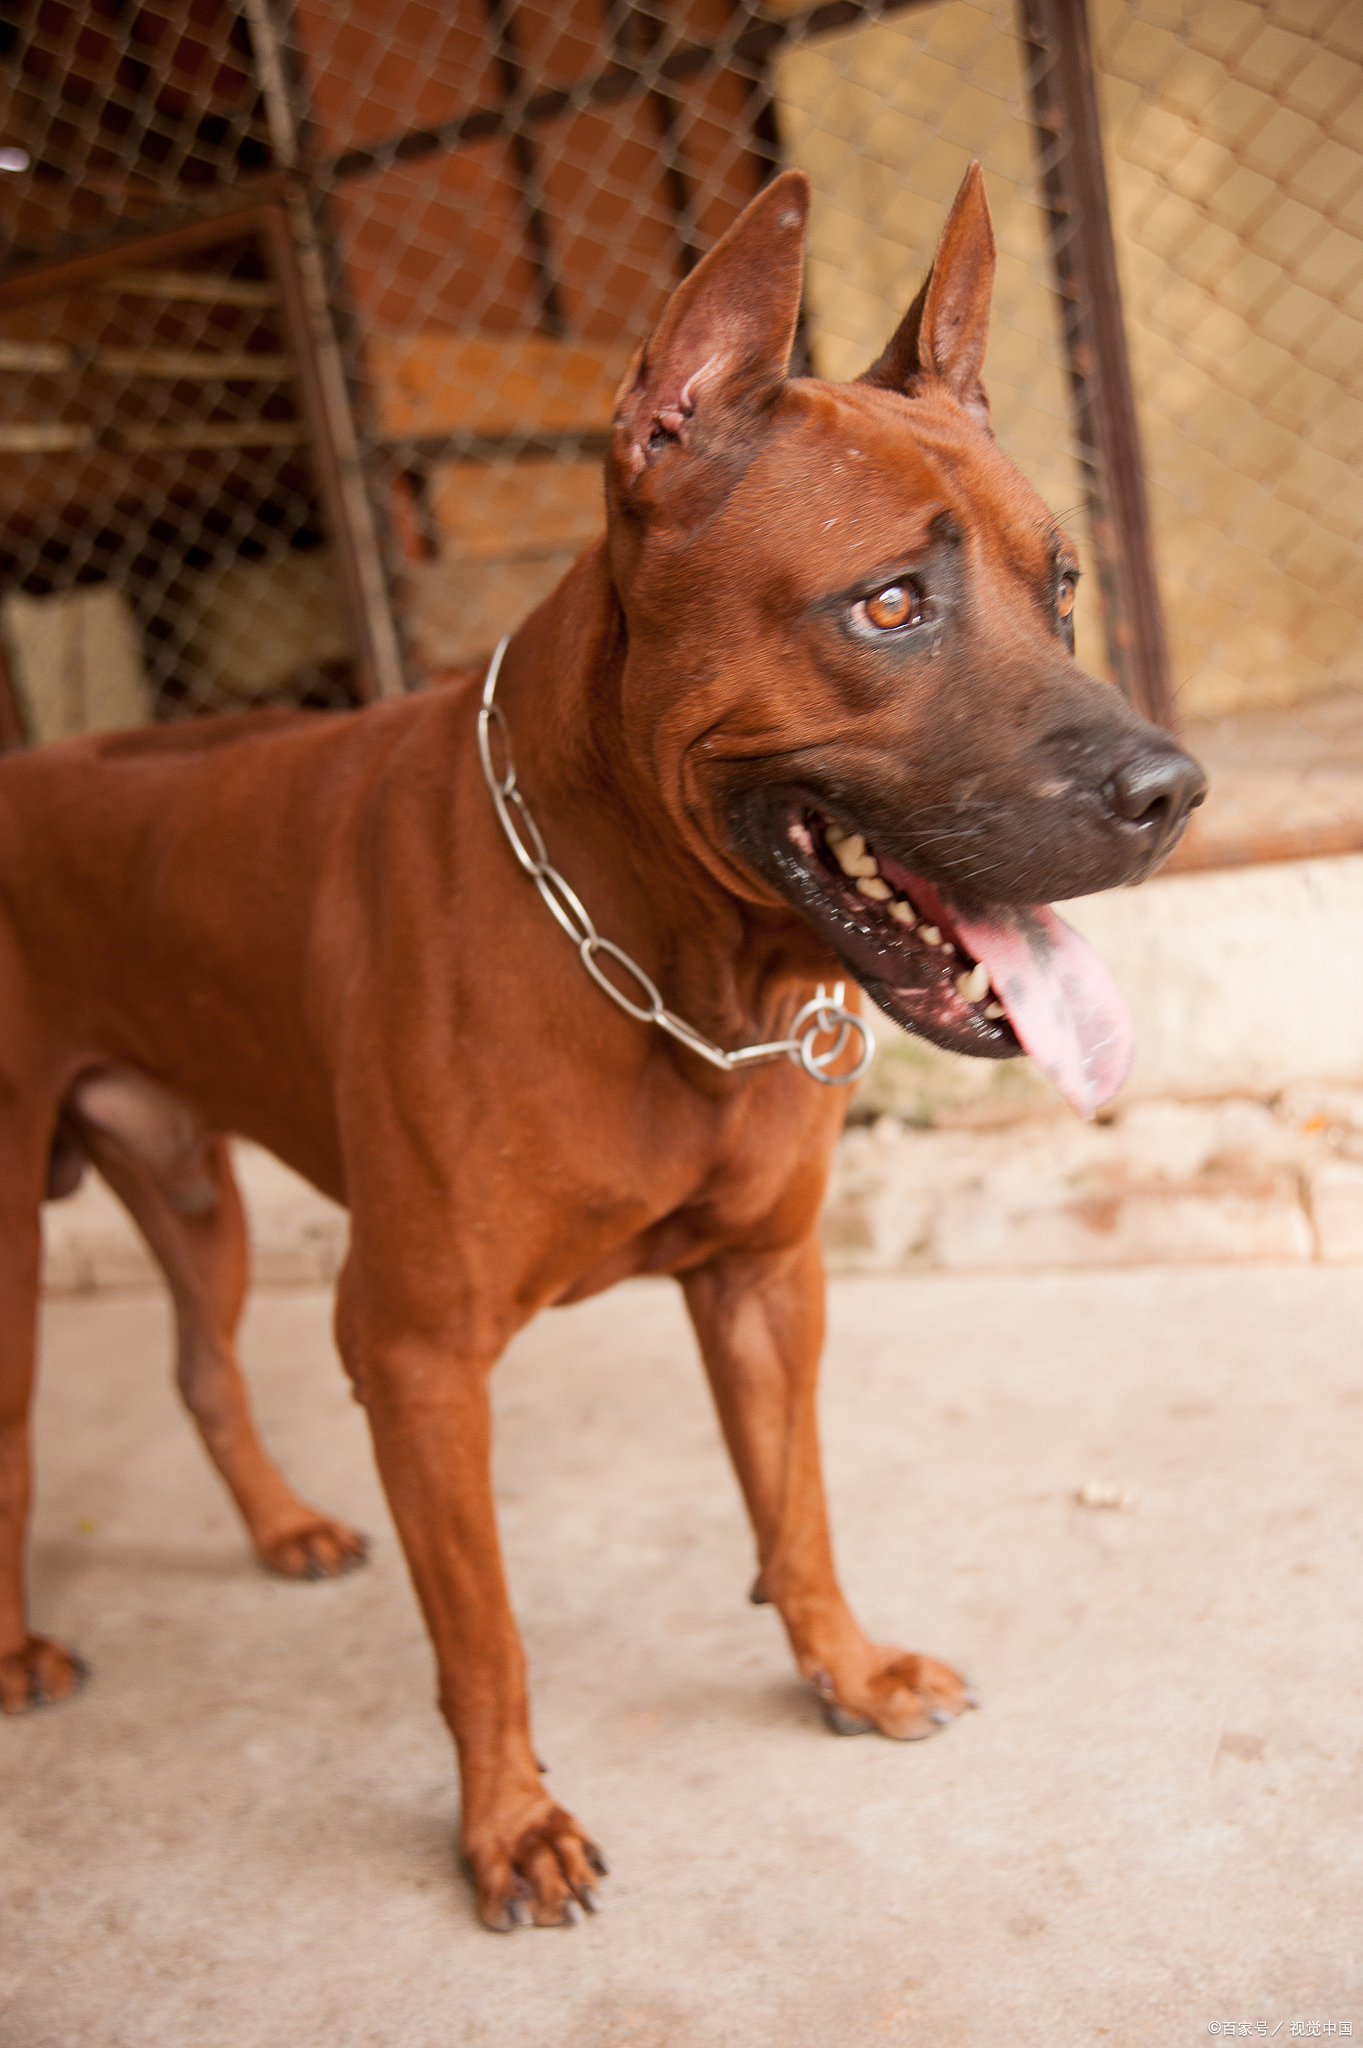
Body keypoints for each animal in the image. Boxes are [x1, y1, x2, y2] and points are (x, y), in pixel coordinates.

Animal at [7, 167, 1203, 1925]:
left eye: (1054, 586)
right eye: (889, 605)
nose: (1171, 791)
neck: (663, 964)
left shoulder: (766, 1283)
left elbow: (795, 1508)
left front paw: (841, 1669)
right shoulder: (416, 1359)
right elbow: (483, 1638)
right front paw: (506, 1824)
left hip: (189, 1185)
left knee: (204, 1368)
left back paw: (282, 1528)